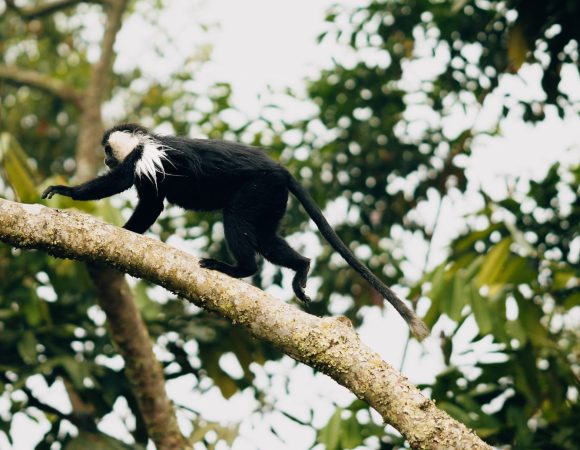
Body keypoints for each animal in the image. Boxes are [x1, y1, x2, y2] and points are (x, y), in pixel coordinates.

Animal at [40, 123, 428, 338]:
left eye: (108, 149)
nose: (106, 158)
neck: (143, 142)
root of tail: (281, 170)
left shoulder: (142, 159)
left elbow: (126, 189)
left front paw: (68, 192)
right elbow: (151, 205)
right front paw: (128, 234)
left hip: (258, 189)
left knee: (237, 224)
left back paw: (237, 269)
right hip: (273, 199)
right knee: (269, 240)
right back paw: (301, 269)